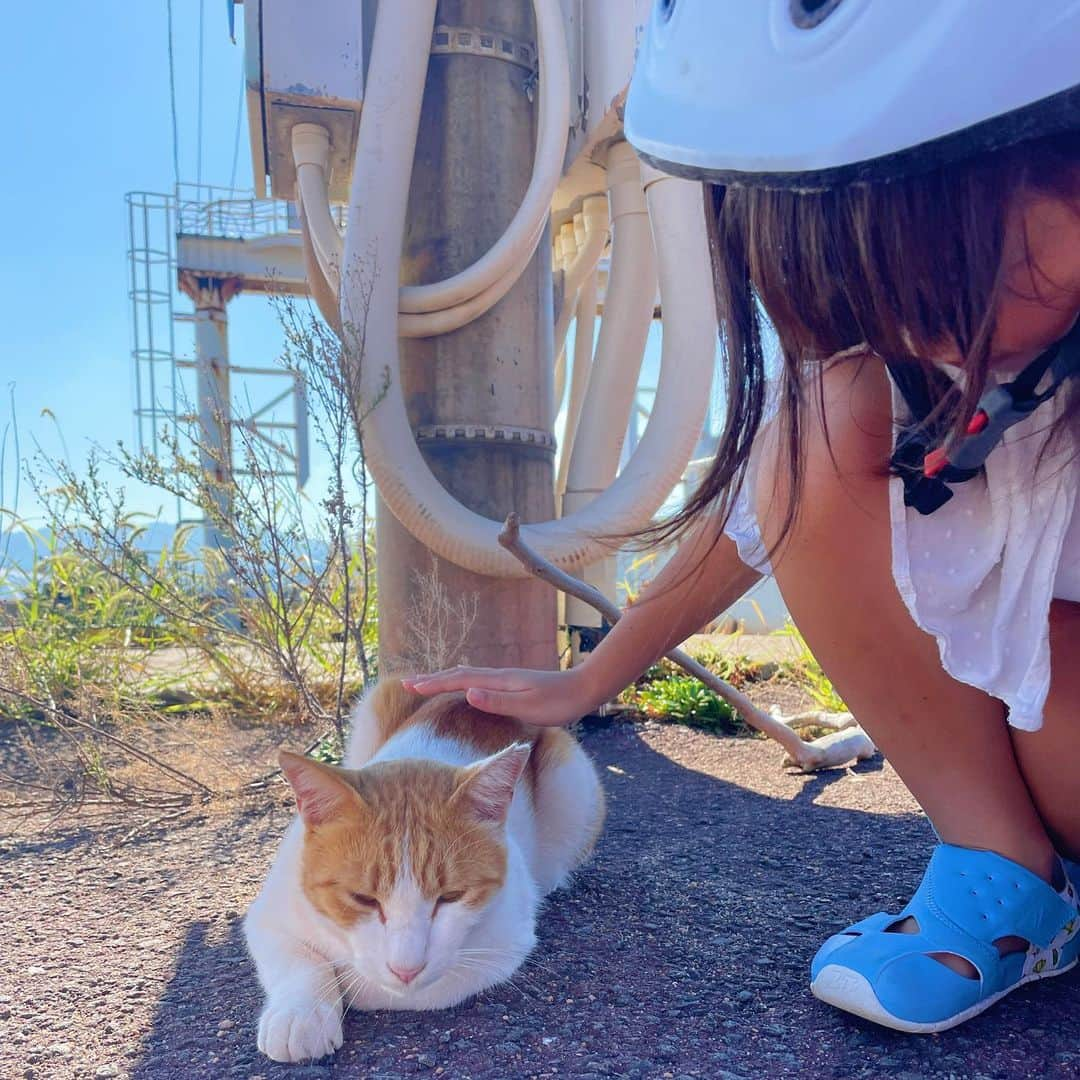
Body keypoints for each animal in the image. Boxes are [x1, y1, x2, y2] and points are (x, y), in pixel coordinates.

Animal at [241, 673, 609, 1062]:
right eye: (363, 898)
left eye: (451, 896)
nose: (406, 969)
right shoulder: (269, 914)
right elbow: (298, 961)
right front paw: (300, 1014)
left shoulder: (505, 944)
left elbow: (399, 986)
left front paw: (351, 983)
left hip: (572, 788)